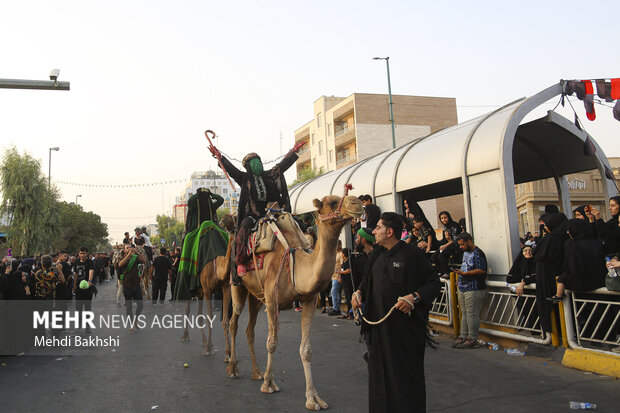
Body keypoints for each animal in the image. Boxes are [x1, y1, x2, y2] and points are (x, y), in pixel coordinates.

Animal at [226, 195, 364, 410]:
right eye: (332, 202)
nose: (357, 203)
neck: (298, 263)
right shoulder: (272, 300)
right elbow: (272, 342)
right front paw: (269, 384)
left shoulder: (309, 300)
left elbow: (306, 350)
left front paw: (313, 398)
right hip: (237, 284)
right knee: (233, 322)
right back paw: (233, 368)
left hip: (257, 295)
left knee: (249, 329)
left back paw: (257, 373)